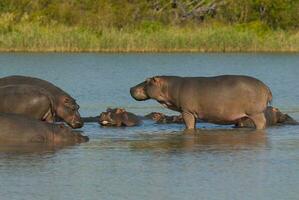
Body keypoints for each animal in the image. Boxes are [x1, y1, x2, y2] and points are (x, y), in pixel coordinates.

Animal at [130, 75, 274, 130]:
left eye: (147, 81)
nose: (130, 88)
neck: (168, 87)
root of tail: (266, 87)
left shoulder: (187, 111)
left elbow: (188, 125)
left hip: (256, 113)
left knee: (262, 123)